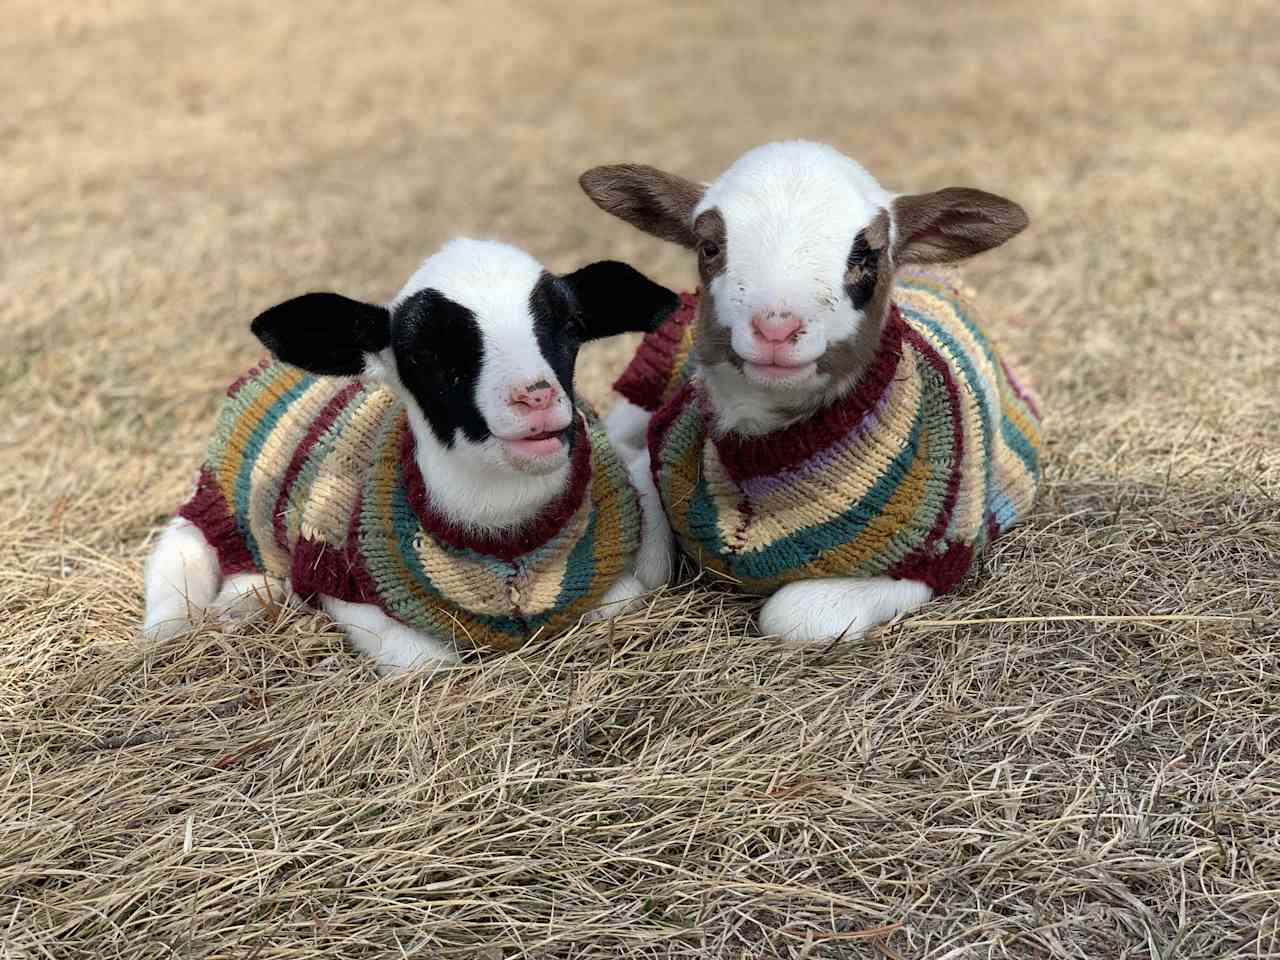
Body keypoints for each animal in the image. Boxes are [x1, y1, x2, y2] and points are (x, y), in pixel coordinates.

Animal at [142, 239, 680, 675]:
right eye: (425, 352)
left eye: (569, 325)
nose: (536, 398)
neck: (503, 532)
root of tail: (265, 369)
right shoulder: (336, 570)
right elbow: (427, 663)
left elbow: (629, 597)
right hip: (223, 505)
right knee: (180, 551)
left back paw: (241, 606)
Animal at [581, 136, 1039, 647]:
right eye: (710, 245)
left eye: (867, 256)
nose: (775, 330)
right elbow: (644, 537)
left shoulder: (937, 554)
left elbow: (793, 614)